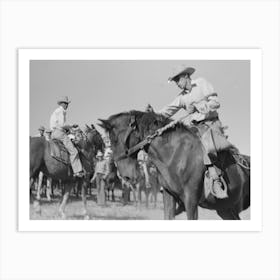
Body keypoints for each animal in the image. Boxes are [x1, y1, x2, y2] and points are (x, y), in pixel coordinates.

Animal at [99, 110, 252, 220]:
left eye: (114, 139)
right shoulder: (169, 196)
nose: (125, 176)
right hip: (226, 210)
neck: (175, 154)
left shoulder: (191, 201)